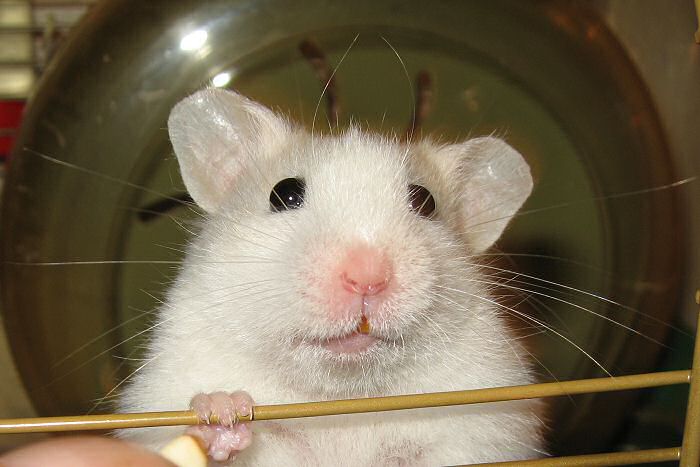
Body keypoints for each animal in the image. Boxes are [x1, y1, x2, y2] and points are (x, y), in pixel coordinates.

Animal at [117, 88, 545, 465]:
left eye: (425, 202)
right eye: (284, 193)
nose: (367, 278)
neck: (339, 401)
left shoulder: (484, 429)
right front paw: (223, 412)